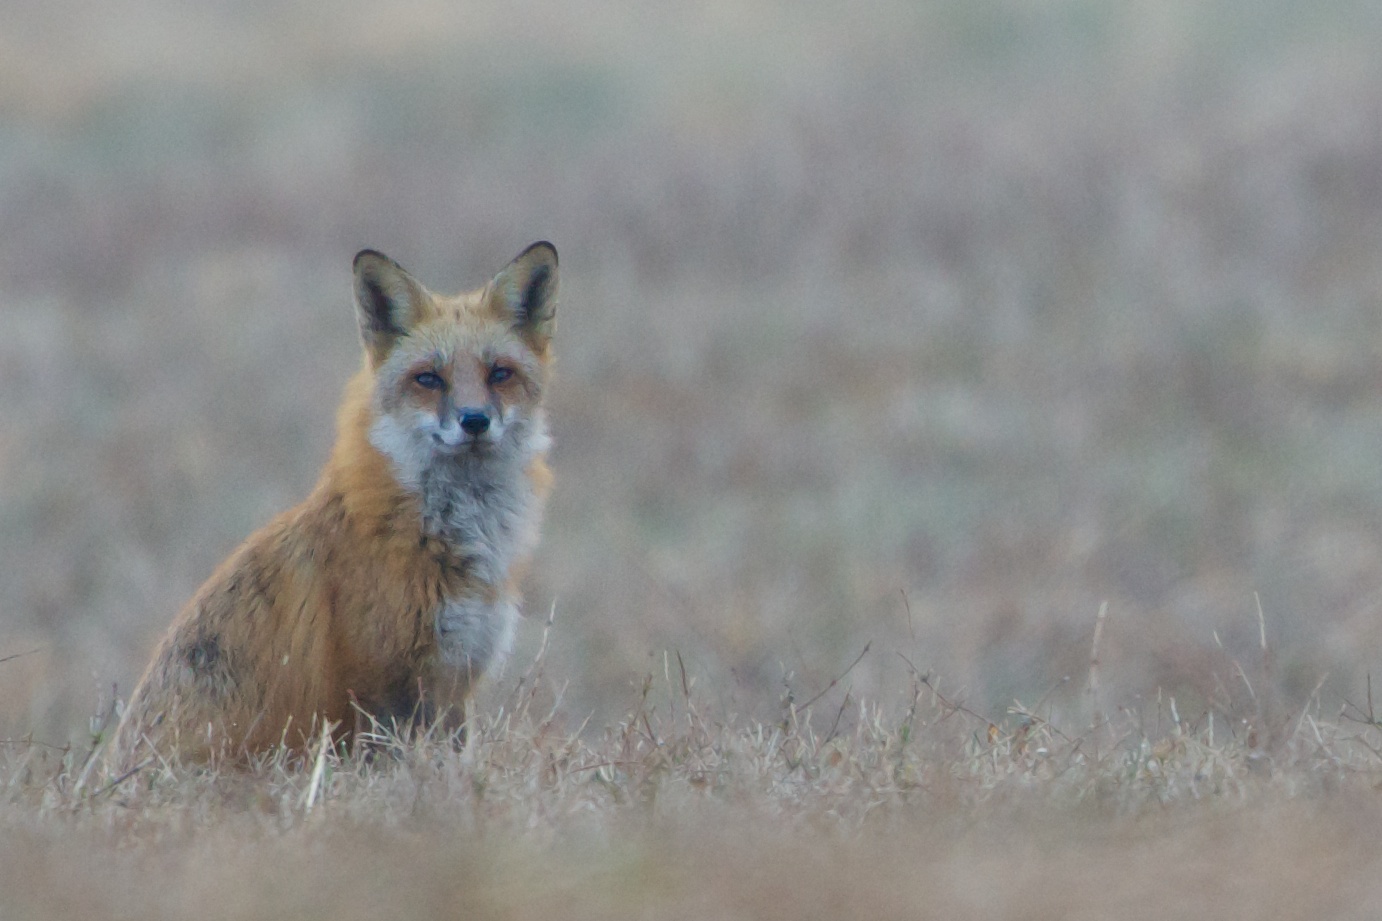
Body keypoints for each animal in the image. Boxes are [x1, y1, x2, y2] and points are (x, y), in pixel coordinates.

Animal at [108, 242, 558, 768]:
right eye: (429, 379)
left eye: (499, 374)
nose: (474, 420)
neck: (450, 535)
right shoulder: (377, 685)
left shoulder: (455, 681)